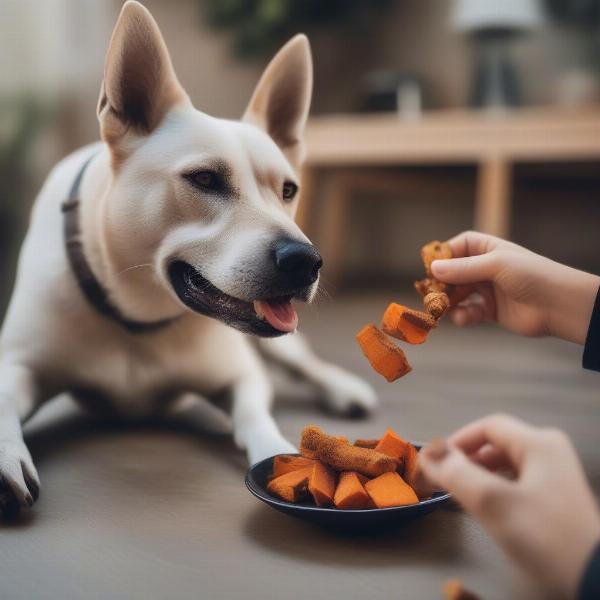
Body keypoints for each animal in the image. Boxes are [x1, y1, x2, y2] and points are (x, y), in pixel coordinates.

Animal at [0, 2, 376, 512]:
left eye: (289, 190)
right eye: (204, 179)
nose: (306, 260)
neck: (136, 312)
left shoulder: (241, 374)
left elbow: (254, 414)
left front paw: (281, 453)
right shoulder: (16, 364)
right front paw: (6, 458)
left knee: (302, 362)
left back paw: (341, 386)